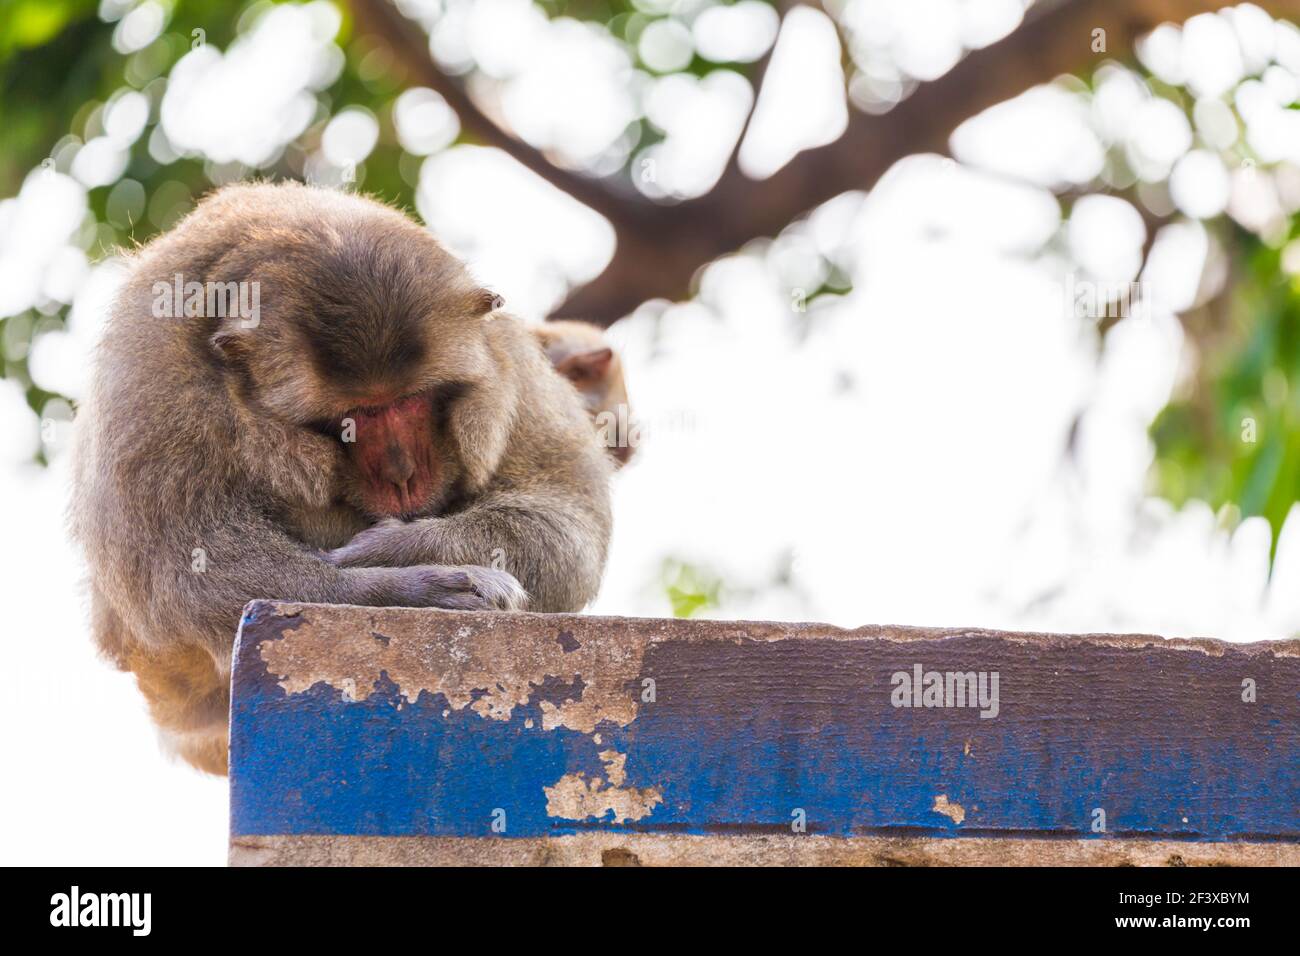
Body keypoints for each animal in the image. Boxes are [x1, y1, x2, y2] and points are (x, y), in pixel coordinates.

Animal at [72, 180, 613, 780]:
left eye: (412, 401)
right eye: (352, 418)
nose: (403, 474)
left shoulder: (504, 354)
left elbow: (568, 521)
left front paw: (400, 549)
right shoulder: (150, 375)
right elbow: (187, 580)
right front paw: (413, 590)